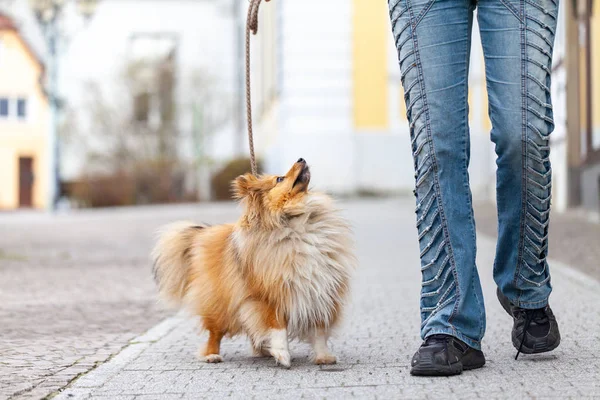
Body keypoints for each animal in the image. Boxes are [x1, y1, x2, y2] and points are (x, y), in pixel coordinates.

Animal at [152, 158, 354, 368]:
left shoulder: (320, 292)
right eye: (279, 179)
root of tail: (203, 234)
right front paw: (282, 355)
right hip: (221, 306)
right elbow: (277, 327)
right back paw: (212, 355)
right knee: (214, 333)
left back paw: (264, 350)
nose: (301, 159)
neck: (294, 221)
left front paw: (324, 357)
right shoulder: (268, 296)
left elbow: (319, 331)